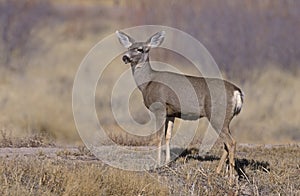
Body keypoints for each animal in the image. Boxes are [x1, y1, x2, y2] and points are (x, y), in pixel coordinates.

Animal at [116, 30, 243, 182]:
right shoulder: (171, 113)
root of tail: (236, 92)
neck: (148, 83)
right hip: (225, 118)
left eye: (140, 49)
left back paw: (231, 178)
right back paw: (218, 171)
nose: (125, 57)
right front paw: (167, 161)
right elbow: (168, 136)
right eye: (128, 48)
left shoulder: (159, 107)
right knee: (226, 144)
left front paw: (157, 163)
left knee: (231, 142)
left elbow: (158, 137)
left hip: (217, 115)